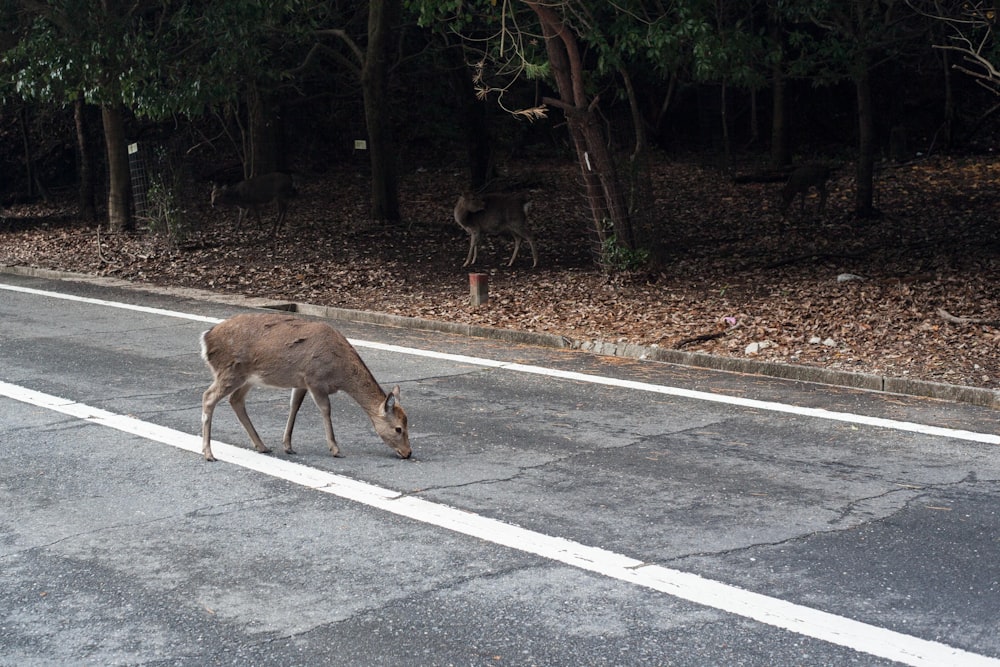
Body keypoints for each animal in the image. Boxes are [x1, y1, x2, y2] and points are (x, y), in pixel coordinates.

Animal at [199, 314, 410, 464]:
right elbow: (326, 410)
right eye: (398, 428)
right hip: (230, 371)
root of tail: (206, 338)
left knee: (235, 400)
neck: (340, 373)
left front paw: (288, 445)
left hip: (247, 378)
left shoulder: (300, 382)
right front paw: (335, 449)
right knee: (208, 397)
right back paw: (208, 453)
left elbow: (294, 406)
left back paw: (262, 445)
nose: (408, 452)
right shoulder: (314, 379)